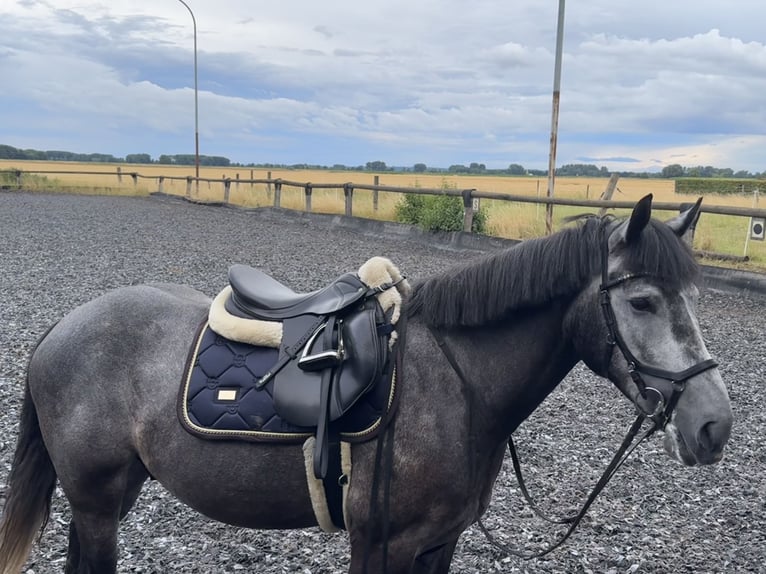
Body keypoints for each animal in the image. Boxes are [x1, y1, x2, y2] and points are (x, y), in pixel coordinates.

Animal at [0, 194, 733, 573]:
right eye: (642, 301)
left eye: (695, 298)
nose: (713, 425)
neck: (455, 384)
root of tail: (64, 328)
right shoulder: (384, 543)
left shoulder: (438, 542)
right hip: (97, 503)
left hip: (109, 499)